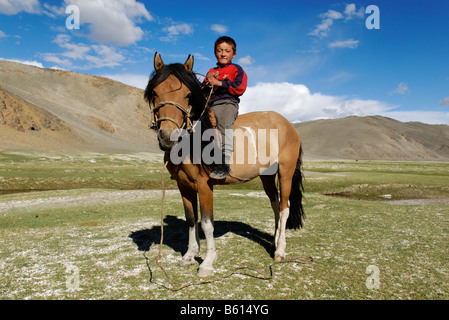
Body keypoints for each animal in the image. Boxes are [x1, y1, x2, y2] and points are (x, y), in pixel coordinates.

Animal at [144, 53, 304, 278]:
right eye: (155, 93)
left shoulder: (204, 185)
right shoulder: (183, 185)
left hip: (285, 172)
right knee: (275, 204)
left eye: (187, 95)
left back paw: (280, 250)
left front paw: (207, 263)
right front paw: (189, 255)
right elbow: (191, 219)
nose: (168, 137)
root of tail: (288, 125)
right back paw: (273, 242)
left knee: (284, 208)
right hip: (266, 175)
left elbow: (206, 223)